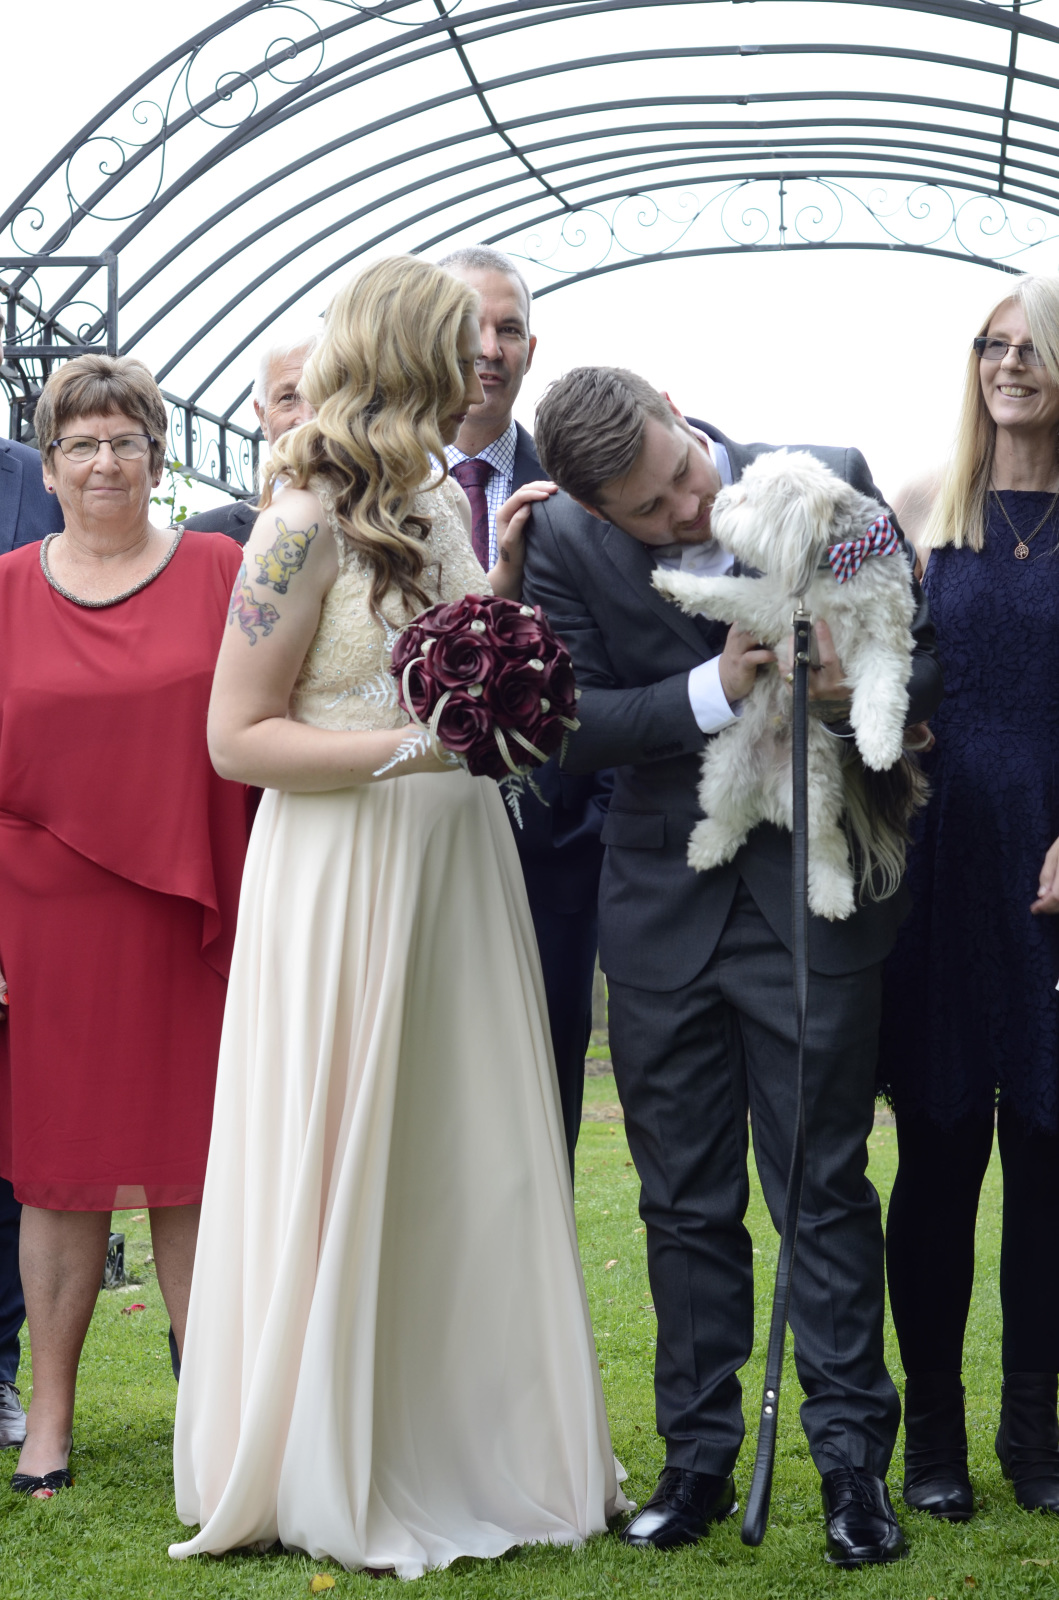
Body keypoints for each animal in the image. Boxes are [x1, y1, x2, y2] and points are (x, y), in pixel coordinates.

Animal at [652, 449, 924, 921]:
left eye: (748, 498)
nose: (716, 502)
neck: (836, 564)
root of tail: (769, 790)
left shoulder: (884, 639)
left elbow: (881, 692)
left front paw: (880, 746)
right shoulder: (778, 608)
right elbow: (726, 592)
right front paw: (674, 585)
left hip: (814, 792)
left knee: (825, 845)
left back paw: (832, 894)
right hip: (726, 767)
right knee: (731, 816)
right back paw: (710, 846)